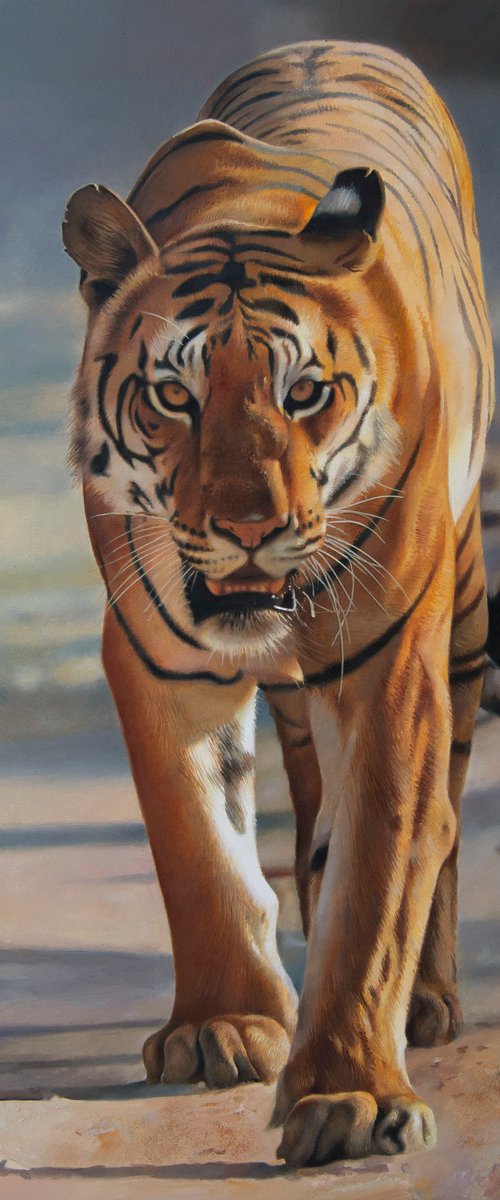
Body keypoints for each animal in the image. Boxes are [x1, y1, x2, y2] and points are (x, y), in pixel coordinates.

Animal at [62, 40, 494, 1166]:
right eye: (173, 397)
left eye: (305, 393)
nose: (250, 527)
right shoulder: (154, 657)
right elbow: (196, 844)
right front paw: (224, 1024)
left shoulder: (391, 665)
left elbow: (380, 867)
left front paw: (349, 1094)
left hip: (464, 614)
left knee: (442, 811)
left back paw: (428, 998)